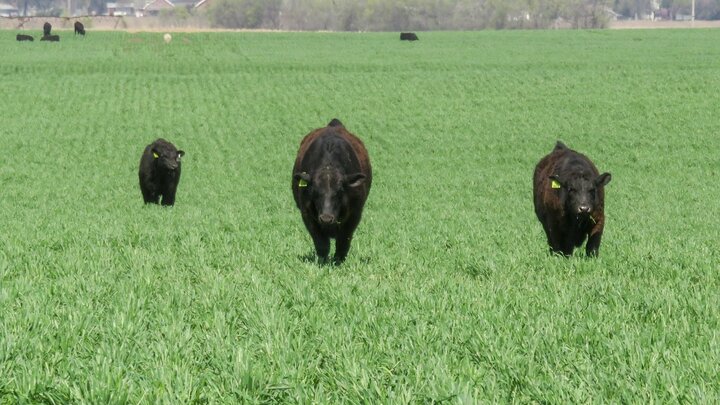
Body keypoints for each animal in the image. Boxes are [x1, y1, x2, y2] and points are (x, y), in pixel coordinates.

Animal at [292, 118, 372, 264]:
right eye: (315, 191)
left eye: (340, 191)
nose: (326, 218)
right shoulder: (307, 213)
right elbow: (321, 243)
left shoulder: (354, 214)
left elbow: (343, 241)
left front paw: (338, 261)